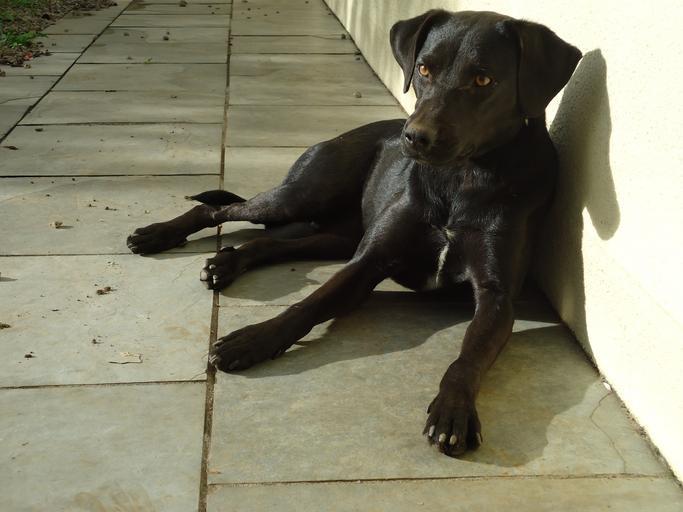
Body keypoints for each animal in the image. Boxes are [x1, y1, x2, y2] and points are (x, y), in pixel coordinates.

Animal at [126, 9, 581, 457]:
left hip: (334, 233)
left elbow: (468, 355)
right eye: (424, 69)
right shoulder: (368, 260)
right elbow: (307, 304)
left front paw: (453, 409)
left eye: (483, 80)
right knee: (218, 208)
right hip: (302, 194)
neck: (461, 179)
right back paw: (157, 235)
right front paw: (254, 339)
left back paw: (225, 263)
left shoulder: (497, 295)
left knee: (270, 240)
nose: (414, 138)